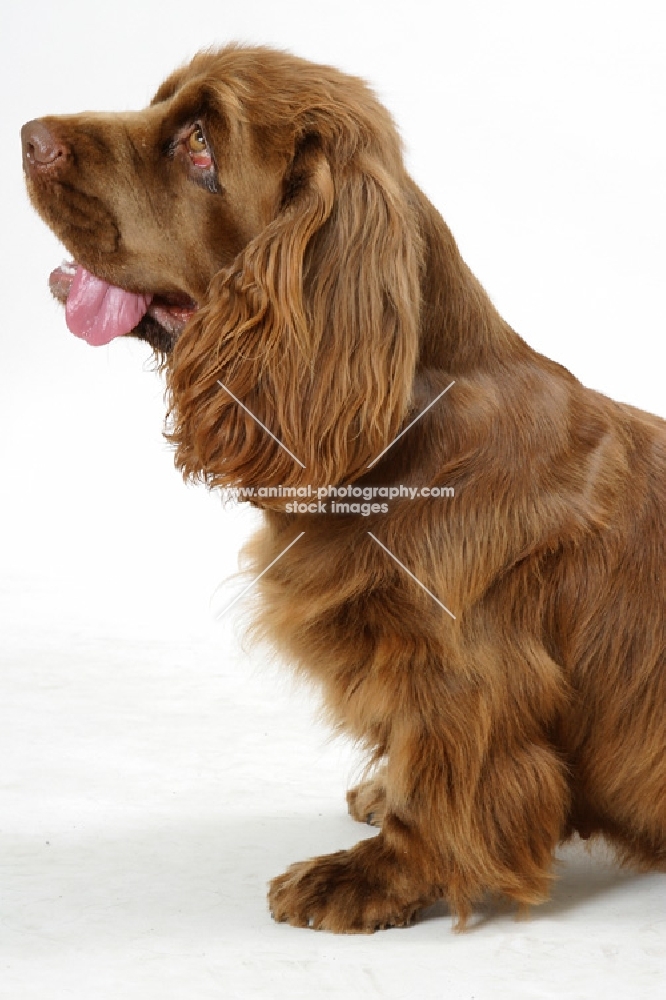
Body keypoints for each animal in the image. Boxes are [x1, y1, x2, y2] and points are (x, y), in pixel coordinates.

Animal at [20, 41, 664, 928]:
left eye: (200, 145)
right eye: (159, 105)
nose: (27, 134)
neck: (395, 441)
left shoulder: (462, 665)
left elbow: (450, 772)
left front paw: (376, 874)